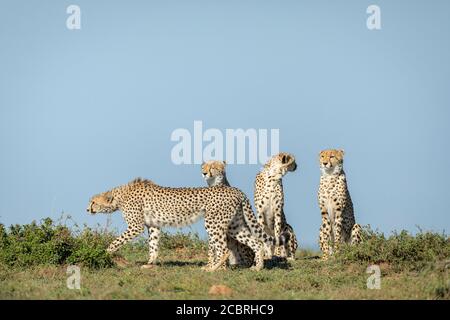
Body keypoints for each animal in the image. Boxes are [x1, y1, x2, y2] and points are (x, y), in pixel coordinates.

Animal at [86, 178, 272, 270]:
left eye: (93, 202)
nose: (87, 209)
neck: (119, 195)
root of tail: (236, 190)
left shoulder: (135, 226)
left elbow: (116, 241)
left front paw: (105, 252)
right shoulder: (153, 226)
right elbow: (153, 246)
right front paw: (150, 263)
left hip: (213, 223)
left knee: (224, 249)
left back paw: (213, 268)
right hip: (235, 225)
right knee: (256, 242)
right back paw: (257, 267)